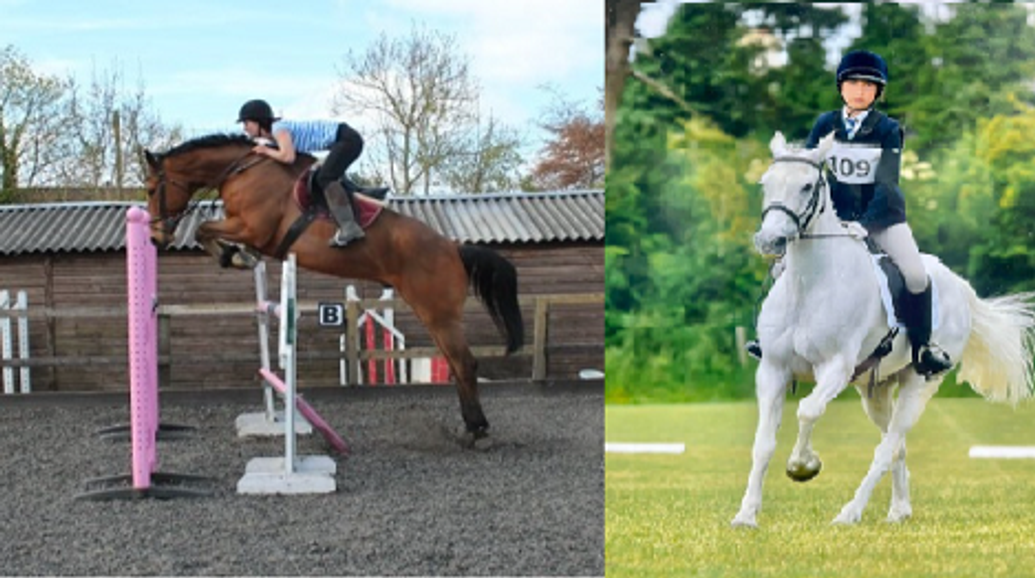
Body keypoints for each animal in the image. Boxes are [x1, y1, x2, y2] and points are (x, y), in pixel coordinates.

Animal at [142, 133, 524, 445]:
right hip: (434, 315)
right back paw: (469, 427)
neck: (242, 170)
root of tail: (453, 248)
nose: (155, 238)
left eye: (149, 189)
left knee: (464, 363)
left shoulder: (252, 228)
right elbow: (206, 230)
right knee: (456, 364)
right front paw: (238, 257)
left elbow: (203, 228)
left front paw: (233, 257)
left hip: (438, 313)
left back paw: (477, 431)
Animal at [731, 131, 1035, 527]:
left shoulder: (835, 367)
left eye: (808, 185)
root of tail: (959, 286)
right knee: (895, 446)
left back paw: (850, 512)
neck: (808, 287)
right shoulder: (772, 369)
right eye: (765, 183)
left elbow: (808, 411)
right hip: (876, 390)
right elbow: (763, 443)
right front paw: (746, 514)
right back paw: (898, 509)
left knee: (887, 446)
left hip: (920, 384)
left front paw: (803, 465)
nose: (770, 241)